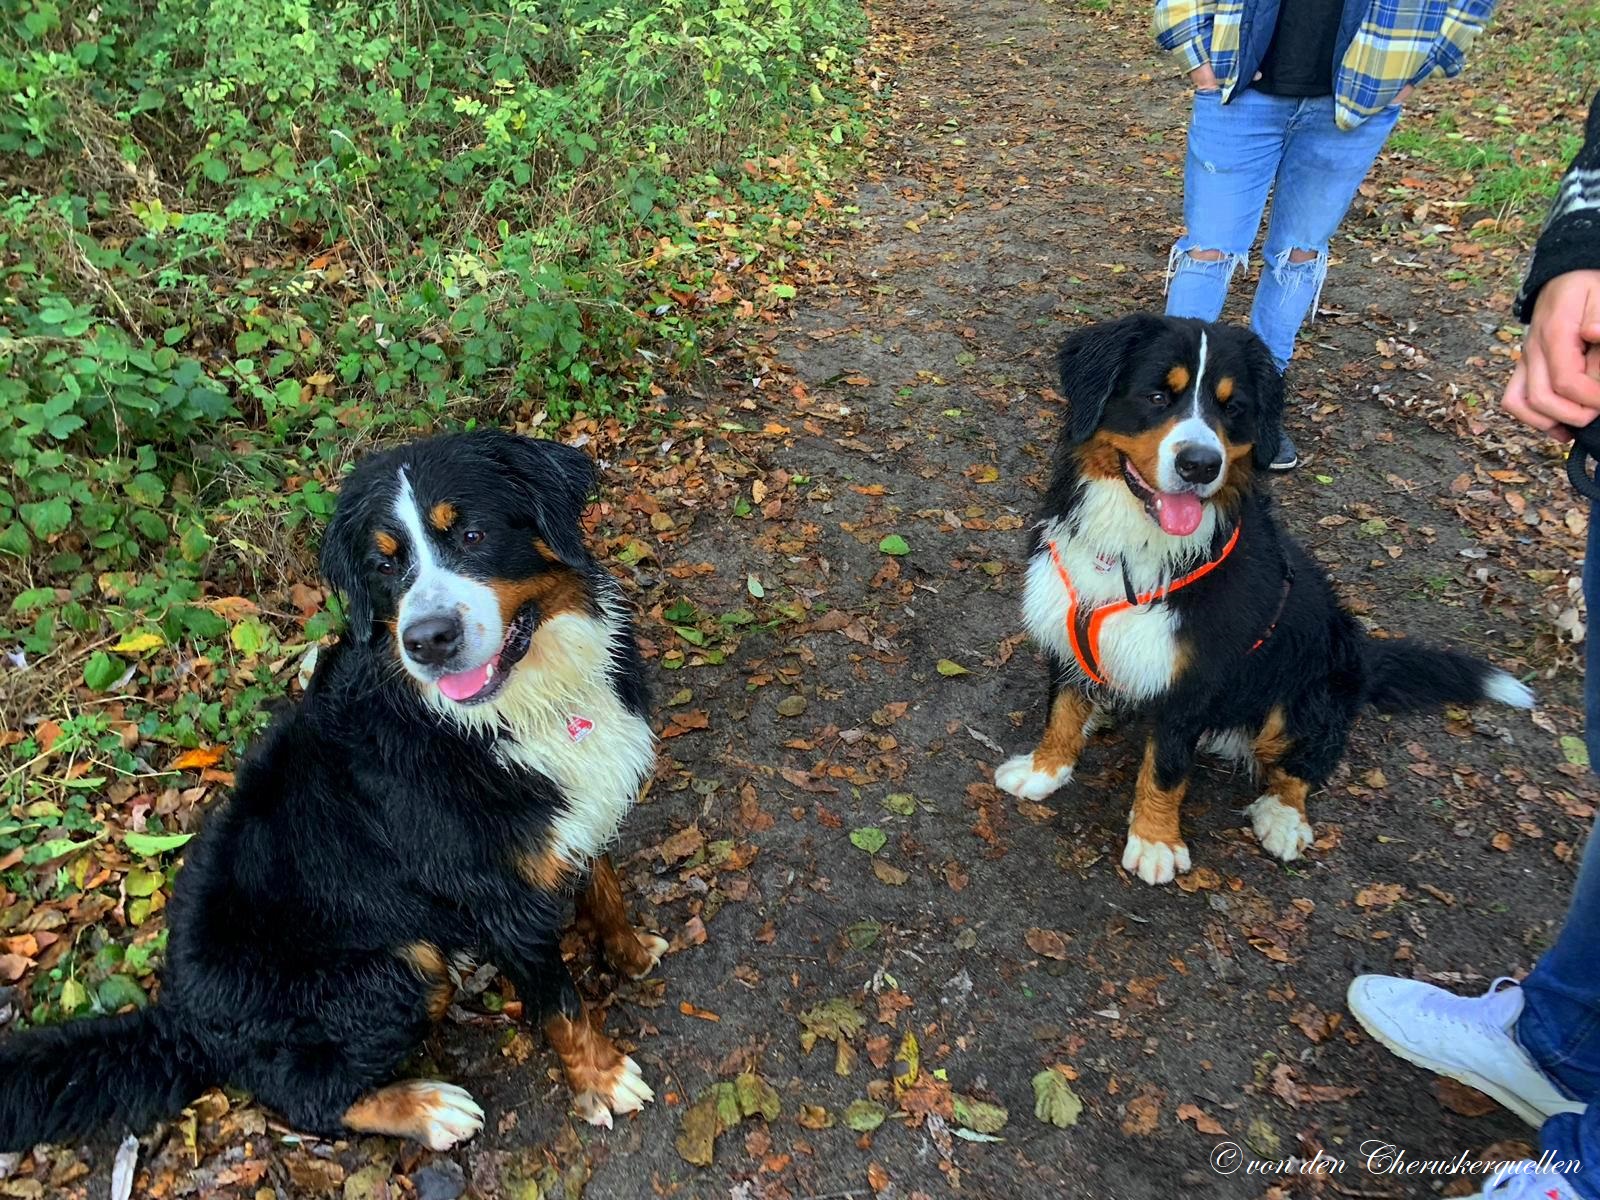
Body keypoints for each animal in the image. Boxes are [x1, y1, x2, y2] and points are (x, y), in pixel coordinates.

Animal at [0, 432, 662, 1158]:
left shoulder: (572, 818)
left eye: (473, 534)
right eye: (385, 564)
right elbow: (559, 1005)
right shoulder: (499, 897)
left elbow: (604, 888)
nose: (427, 641)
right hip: (399, 967)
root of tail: (181, 1018)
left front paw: (630, 953)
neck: (513, 709)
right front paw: (602, 1079)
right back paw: (429, 1107)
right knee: (305, 1097)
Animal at [998, 315, 1536, 889]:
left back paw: (1282, 819)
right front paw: (1043, 772)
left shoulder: (1195, 680)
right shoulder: (1066, 631)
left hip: (1308, 691)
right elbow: (1062, 713)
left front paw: (1155, 841)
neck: (1134, 548)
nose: (1200, 465)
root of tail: (1363, 657)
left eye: (1232, 409)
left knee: (1304, 765)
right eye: (1157, 395)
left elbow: (1165, 769)